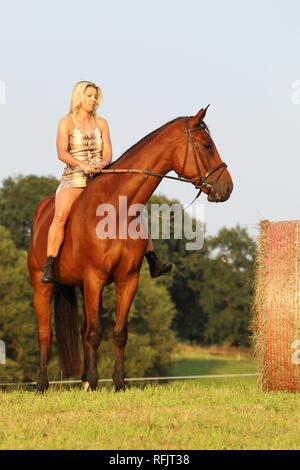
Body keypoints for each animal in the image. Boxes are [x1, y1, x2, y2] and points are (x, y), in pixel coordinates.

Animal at [27, 107, 232, 392]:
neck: (115, 208)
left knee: (81, 330)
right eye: (206, 146)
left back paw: (83, 381)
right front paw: (95, 382)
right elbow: (95, 333)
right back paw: (42, 384)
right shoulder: (94, 278)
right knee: (45, 333)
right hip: (43, 286)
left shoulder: (127, 280)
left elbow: (118, 333)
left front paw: (118, 383)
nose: (227, 188)